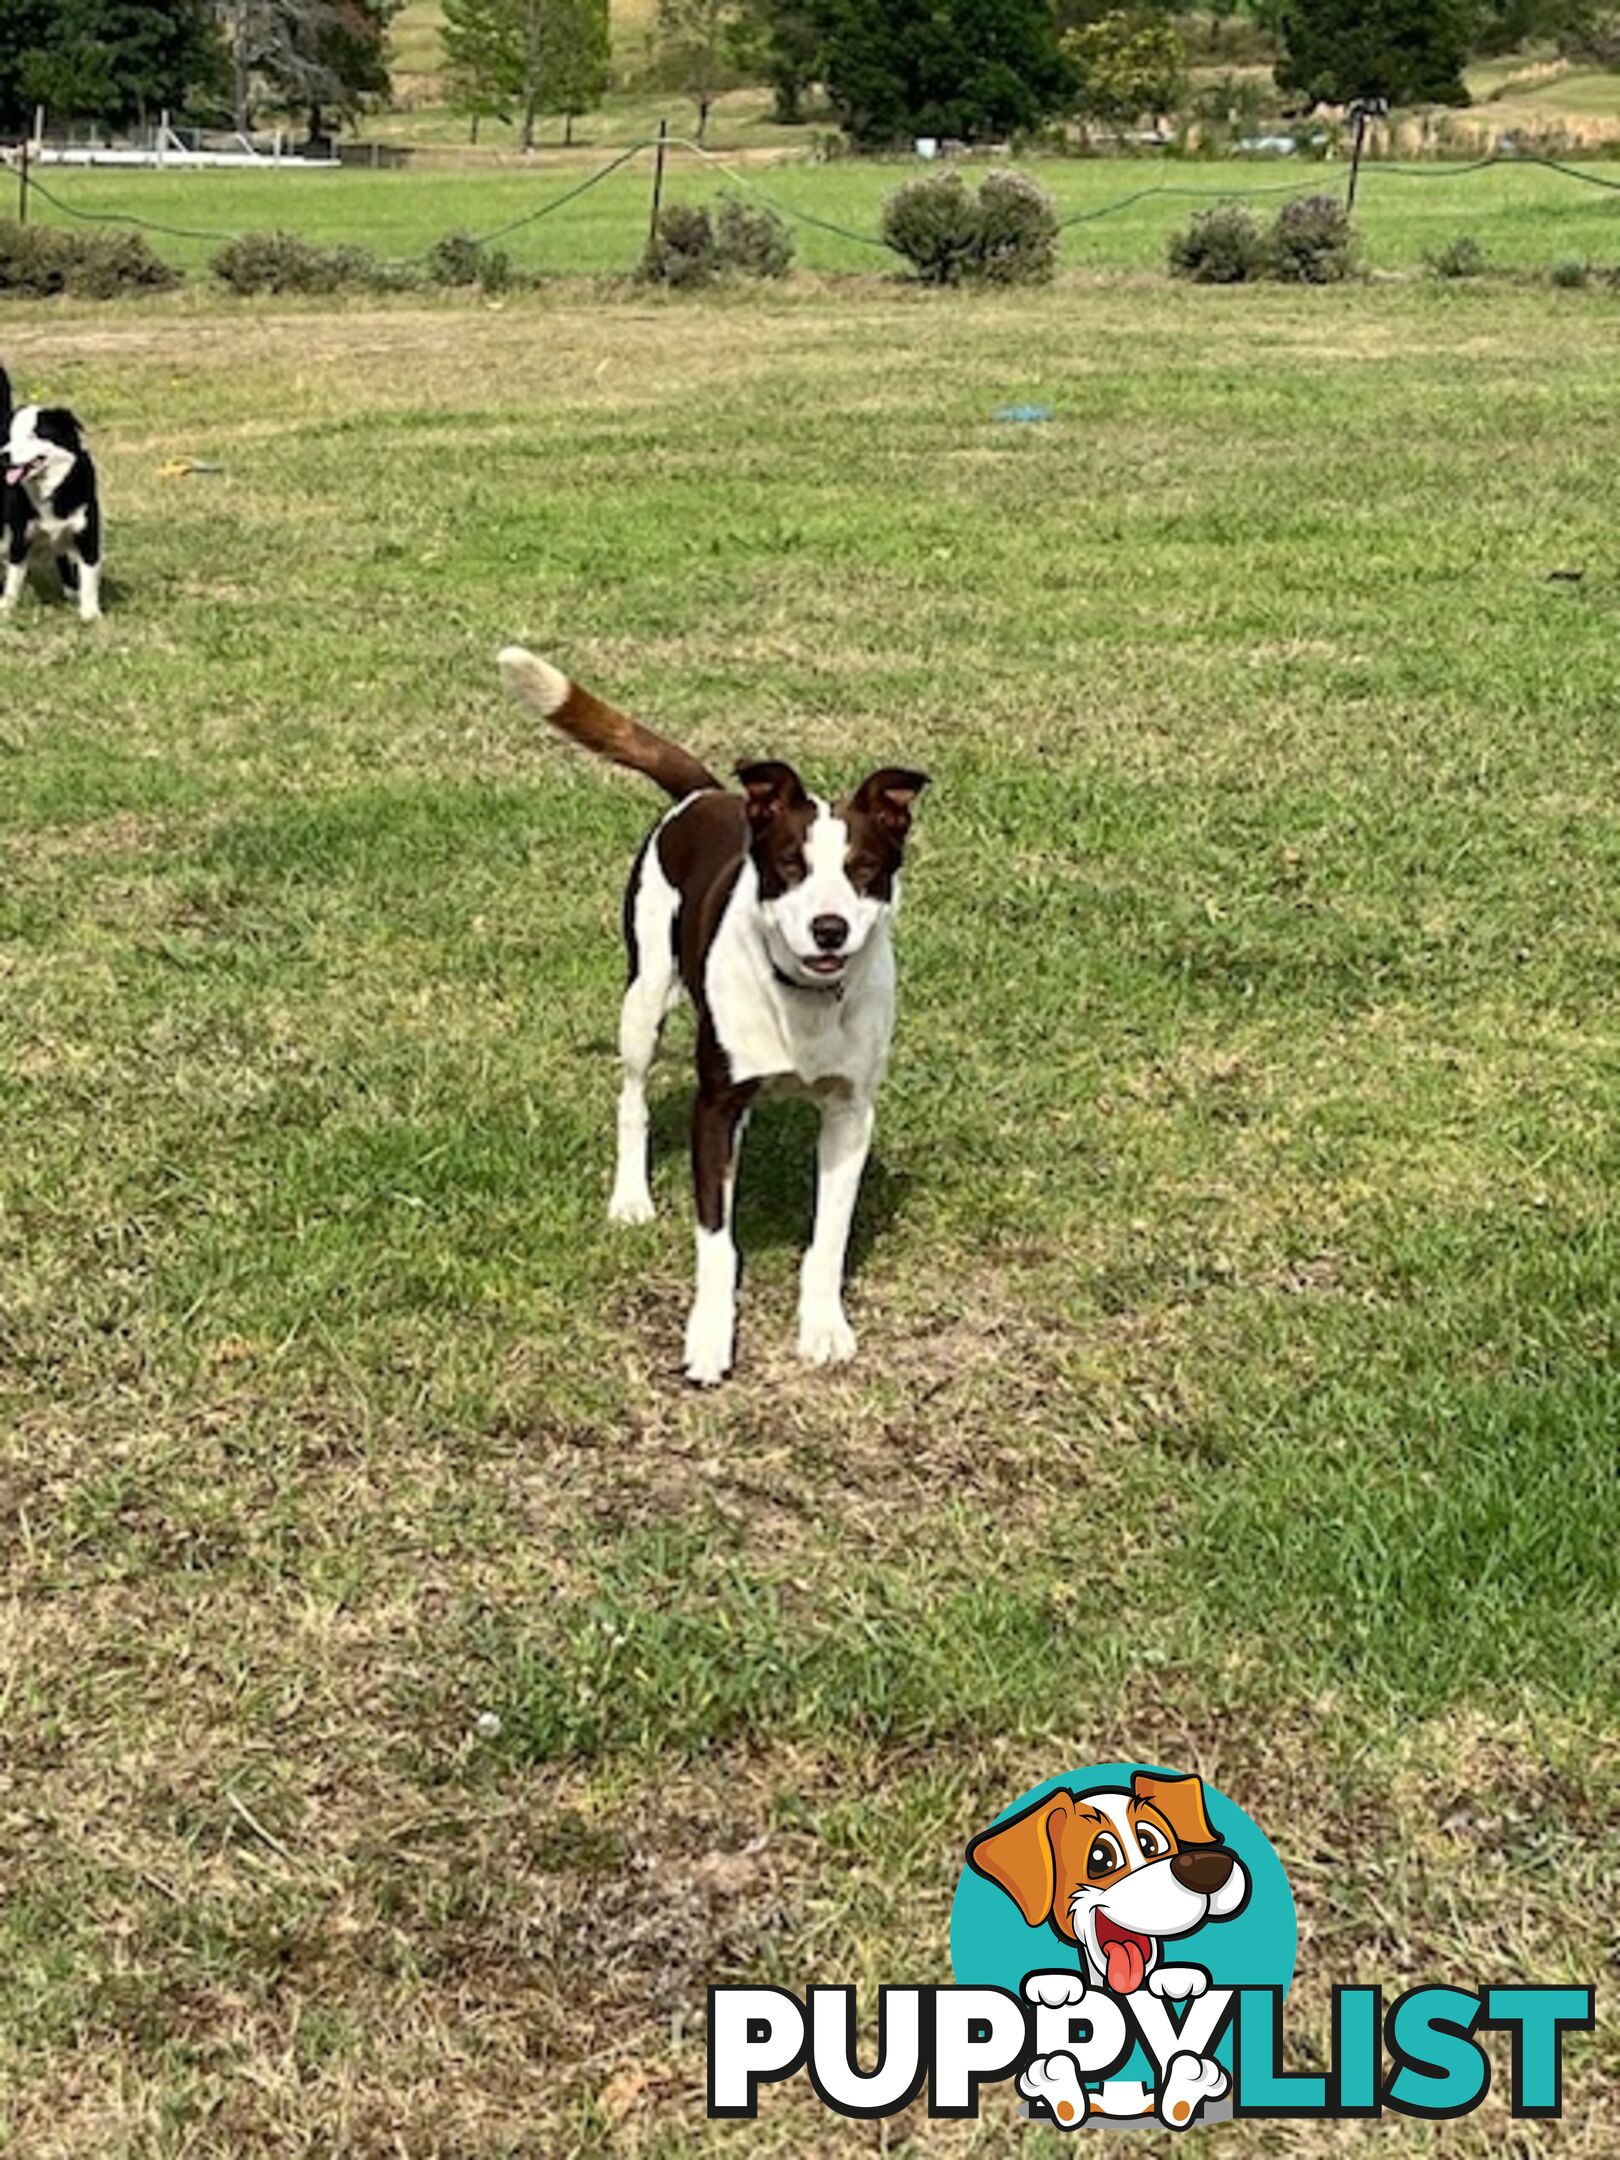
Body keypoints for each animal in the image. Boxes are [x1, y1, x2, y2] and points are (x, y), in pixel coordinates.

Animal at [1, 367, 104, 622]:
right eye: (9, 437)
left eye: (33, 435)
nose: (4, 455)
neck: (49, 490)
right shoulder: (21, 536)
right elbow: (13, 579)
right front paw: (6, 608)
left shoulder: (87, 534)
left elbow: (89, 578)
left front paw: (90, 613)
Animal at [498, 643, 924, 1382]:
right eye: (790, 865)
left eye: (865, 868)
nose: (830, 928)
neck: (804, 1001)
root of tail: (707, 791)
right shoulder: (715, 1105)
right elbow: (716, 1239)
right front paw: (708, 1334)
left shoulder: (850, 1110)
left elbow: (829, 1236)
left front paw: (823, 1326)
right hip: (643, 996)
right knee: (632, 1097)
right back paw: (630, 1197)